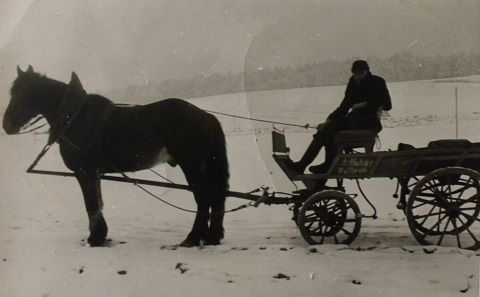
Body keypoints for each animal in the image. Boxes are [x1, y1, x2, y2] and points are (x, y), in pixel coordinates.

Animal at [2, 65, 230, 247]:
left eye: (22, 91)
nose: (6, 125)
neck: (74, 116)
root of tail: (205, 115)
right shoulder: (94, 173)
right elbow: (97, 203)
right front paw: (100, 235)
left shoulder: (84, 172)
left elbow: (91, 205)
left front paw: (95, 238)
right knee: (217, 196)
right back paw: (212, 236)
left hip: (191, 164)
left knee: (204, 197)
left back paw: (193, 237)